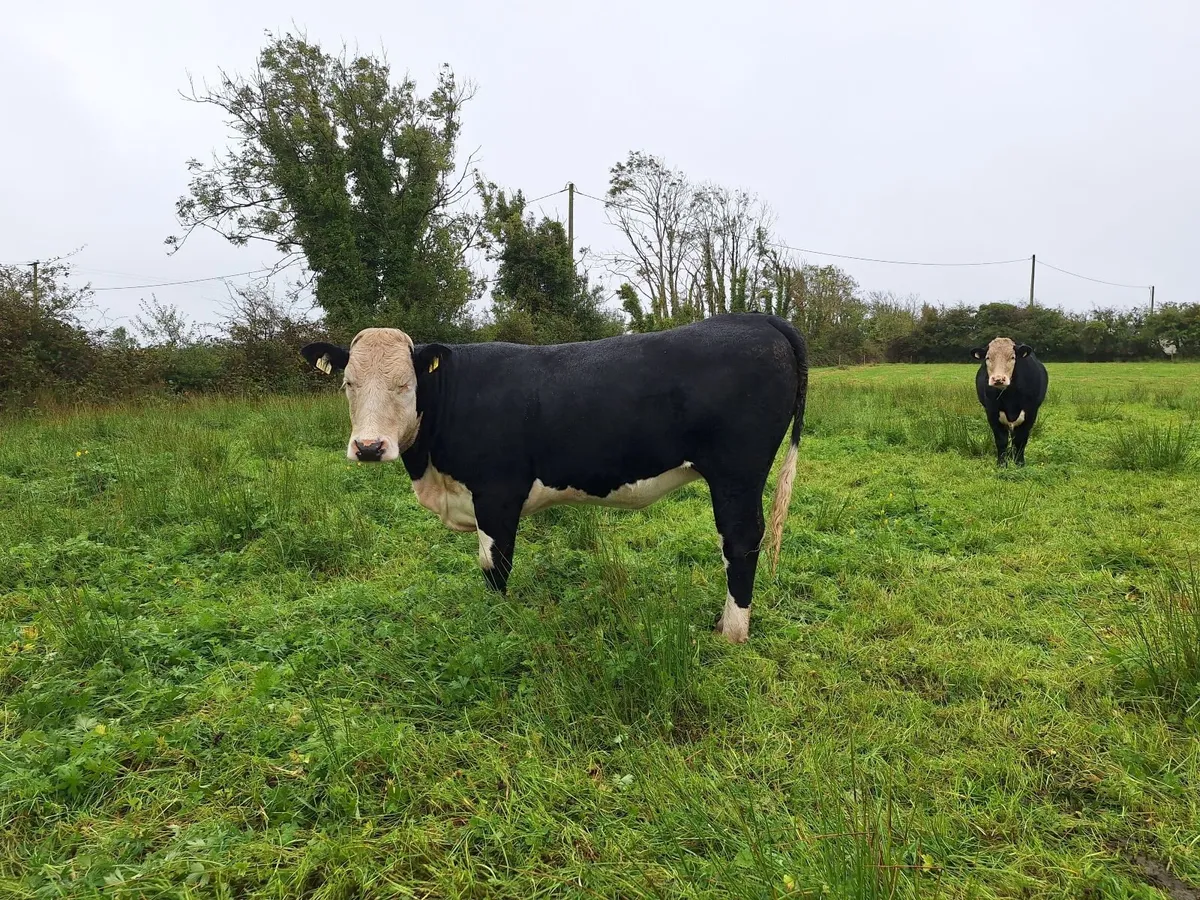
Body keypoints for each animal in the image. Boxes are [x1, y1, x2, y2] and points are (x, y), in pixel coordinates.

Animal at [301, 313, 808, 643]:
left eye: (406, 385)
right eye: (348, 384)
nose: (369, 447)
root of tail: (754, 318)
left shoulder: (497, 493)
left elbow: (494, 565)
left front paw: (497, 625)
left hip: (737, 472)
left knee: (741, 541)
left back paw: (731, 633)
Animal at [971, 336, 1049, 466]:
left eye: (1012, 357)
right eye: (988, 358)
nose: (998, 379)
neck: (1010, 399)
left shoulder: (1031, 413)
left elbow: (1020, 440)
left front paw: (1019, 463)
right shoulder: (992, 413)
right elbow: (1001, 440)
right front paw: (1002, 464)